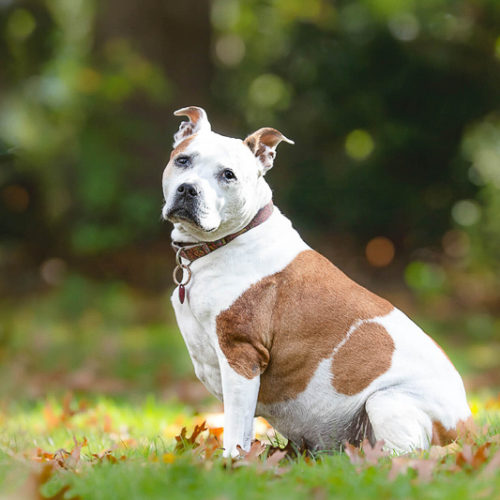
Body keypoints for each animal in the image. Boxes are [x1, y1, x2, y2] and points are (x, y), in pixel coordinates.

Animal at [162, 106, 471, 458]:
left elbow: (236, 431)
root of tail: (466, 426)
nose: (188, 189)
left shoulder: (242, 359)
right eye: (183, 160)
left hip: (386, 402)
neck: (225, 242)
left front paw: (231, 462)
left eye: (228, 174)